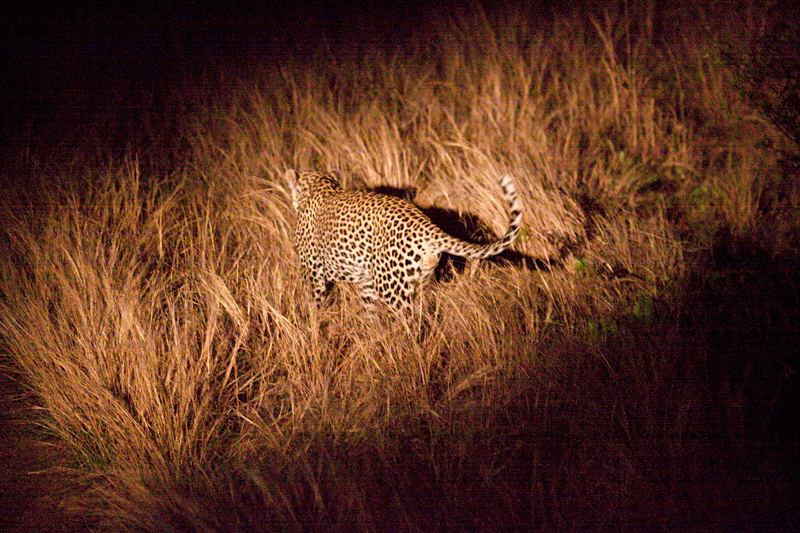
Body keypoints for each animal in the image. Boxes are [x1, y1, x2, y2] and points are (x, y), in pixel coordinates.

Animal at [288, 169, 524, 312]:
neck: (321, 187)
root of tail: (426, 225)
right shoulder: (366, 282)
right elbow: (369, 311)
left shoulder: (314, 275)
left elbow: (316, 308)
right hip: (418, 279)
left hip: (393, 288)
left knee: (408, 324)